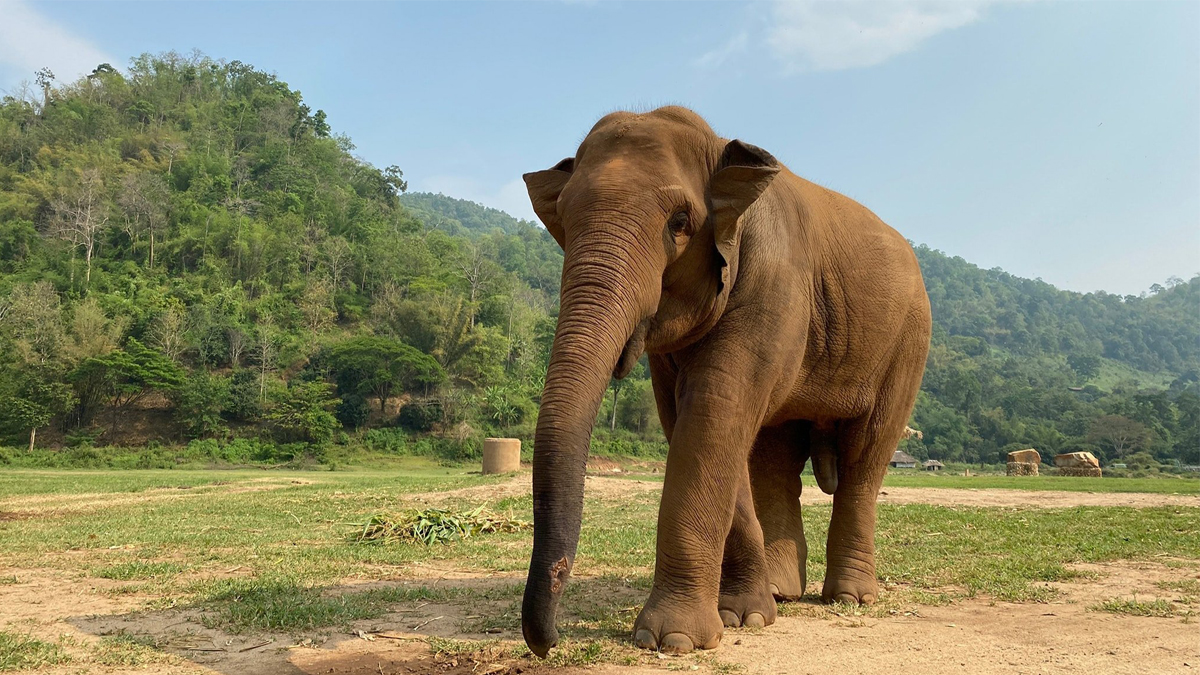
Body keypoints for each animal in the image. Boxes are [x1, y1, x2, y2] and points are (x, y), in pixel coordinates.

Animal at [520, 107, 931, 653]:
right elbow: (696, 419)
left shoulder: (773, 285)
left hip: (908, 343)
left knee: (865, 456)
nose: (549, 640)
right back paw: (781, 593)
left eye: (680, 223)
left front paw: (671, 640)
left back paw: (850, 598)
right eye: (563, 221)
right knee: (775, 456)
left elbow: (715, 408)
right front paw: (745, 617)